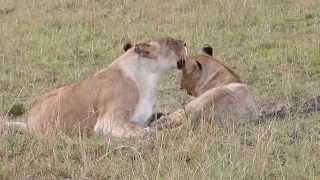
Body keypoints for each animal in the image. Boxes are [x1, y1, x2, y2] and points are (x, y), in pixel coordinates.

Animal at [1, 37, 188, 138]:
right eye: (171, 42)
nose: (186, 43)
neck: (149, 76)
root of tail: (28, 121)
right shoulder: (108, 121)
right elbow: (145, 131)